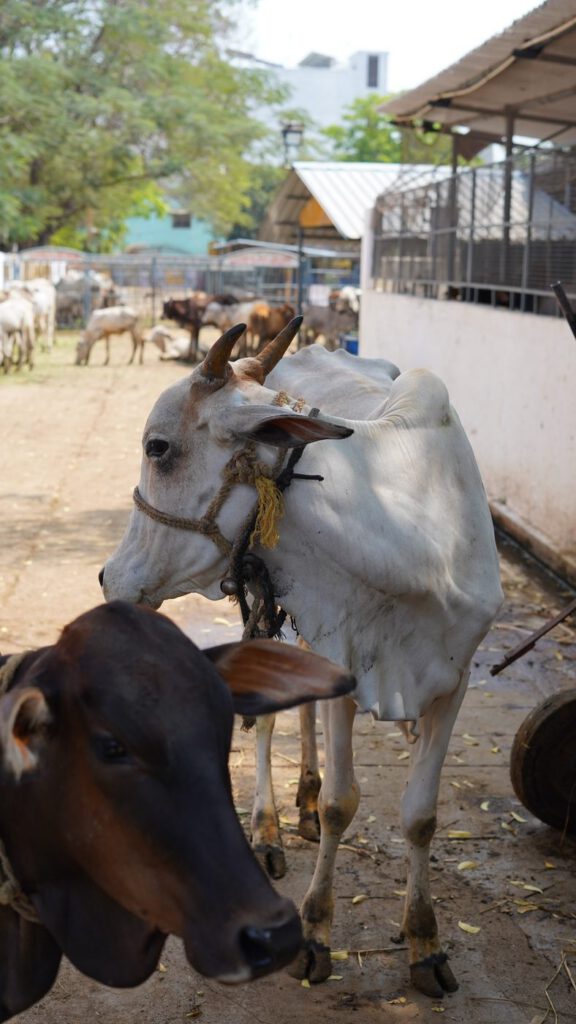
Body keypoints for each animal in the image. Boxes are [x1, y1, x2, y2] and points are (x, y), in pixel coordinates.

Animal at [100, 319, 503, 999]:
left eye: (158, 447)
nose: (109, 577)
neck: (412, 534)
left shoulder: (456, 679)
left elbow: (421, 816)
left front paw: (425, 943)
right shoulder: (350, 659)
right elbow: (345, 802)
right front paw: (316, 934)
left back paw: (305, 800)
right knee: (268, 718)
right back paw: (268, 829)